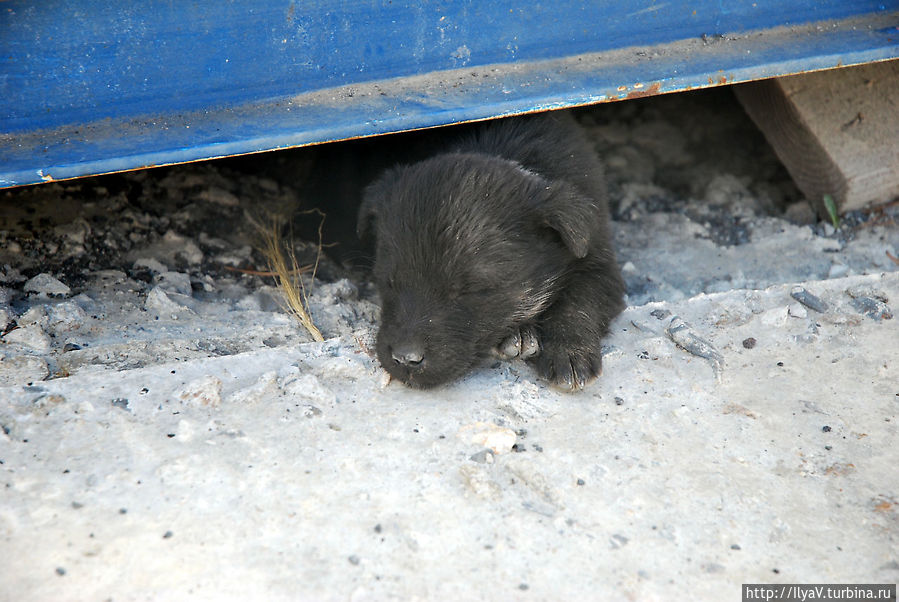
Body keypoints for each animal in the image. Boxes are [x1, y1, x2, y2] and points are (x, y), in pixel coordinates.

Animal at [356, 111, 624, 390]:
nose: (406, 359)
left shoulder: (597, 255)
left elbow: (579, 299)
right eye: (388, 282)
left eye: (471, 291)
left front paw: (569, 351)